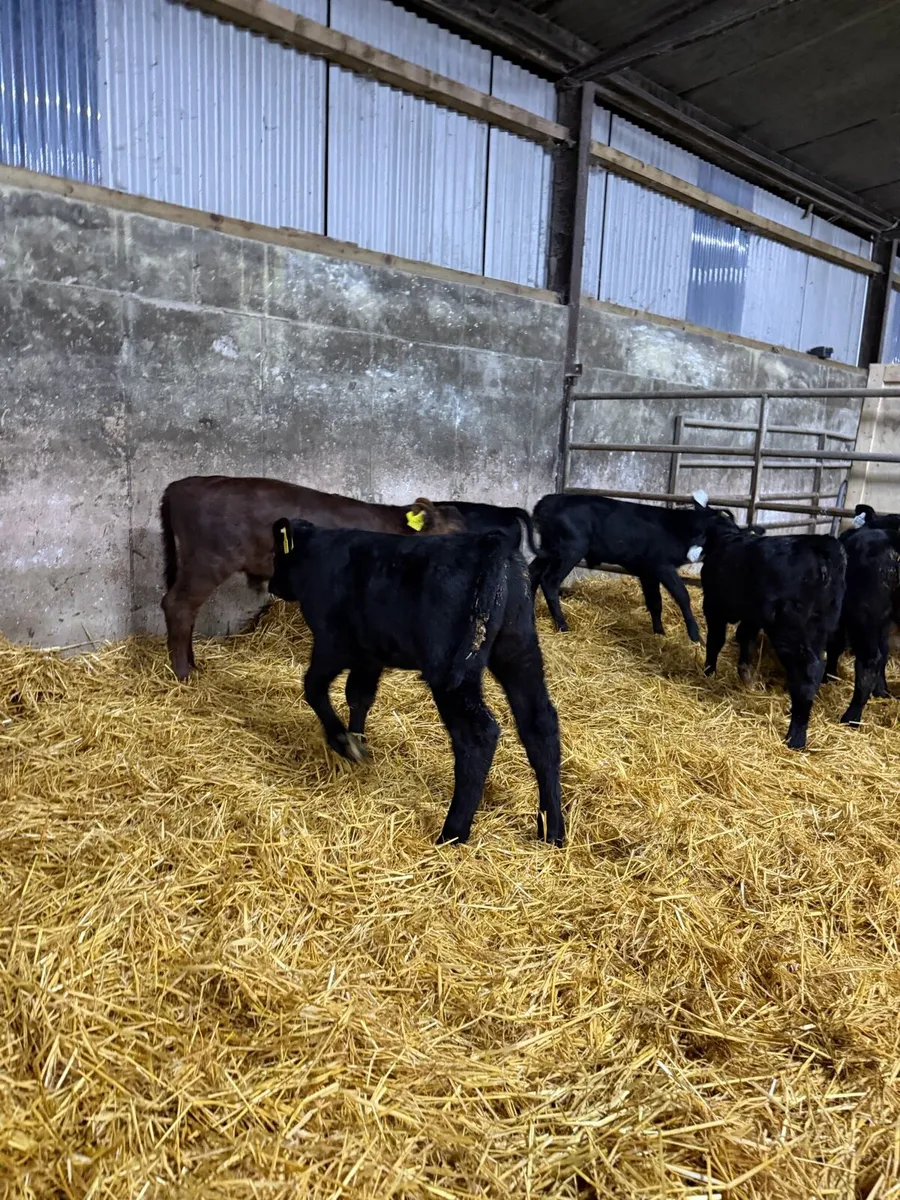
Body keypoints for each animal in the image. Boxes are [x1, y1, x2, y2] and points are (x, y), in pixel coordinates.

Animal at [160, 475, 465, 681]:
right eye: (449, 536)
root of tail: (180, 485)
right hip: (209, 560)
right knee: (178, 605)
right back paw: (183, 675)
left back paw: (193, 665)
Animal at [267, 519, 564, 847]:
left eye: (276, 555)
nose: (271, 586)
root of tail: (490, 542)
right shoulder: (370, 654)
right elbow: (358, 695)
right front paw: (357, 740)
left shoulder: (332, 644)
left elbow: (314, 687)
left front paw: (341, 741)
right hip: (519, 652)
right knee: (540, 725)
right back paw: (552, 830)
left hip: (450, 671)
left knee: (478, 736)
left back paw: (452, 832)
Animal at [529, 490, 722, 641]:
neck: (678, 529)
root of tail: (547, 501)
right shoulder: (662, 566)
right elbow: (682, 595)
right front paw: (696, 637)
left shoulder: (648, 573)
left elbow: (655, 602)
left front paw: (659, 633)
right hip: (570, 549)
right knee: (549, 580)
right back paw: (563, 626)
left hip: (549, 548)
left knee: (533, 572)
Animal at [700, 517, 846, 750]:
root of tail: (823, 547)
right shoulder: (752, 615)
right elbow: (746, 639)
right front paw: (747, 678)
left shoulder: (714, 606)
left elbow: (715, 640)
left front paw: (708, 672)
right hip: (818, 629)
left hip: (790, 630)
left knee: (808, 671)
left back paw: (796, 737)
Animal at [825, 524, 900, 724]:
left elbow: (835, 645)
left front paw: (828, 676)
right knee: (881, 655)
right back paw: (881, 692)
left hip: (864, 616)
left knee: (869, 660)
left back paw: (851, 718)